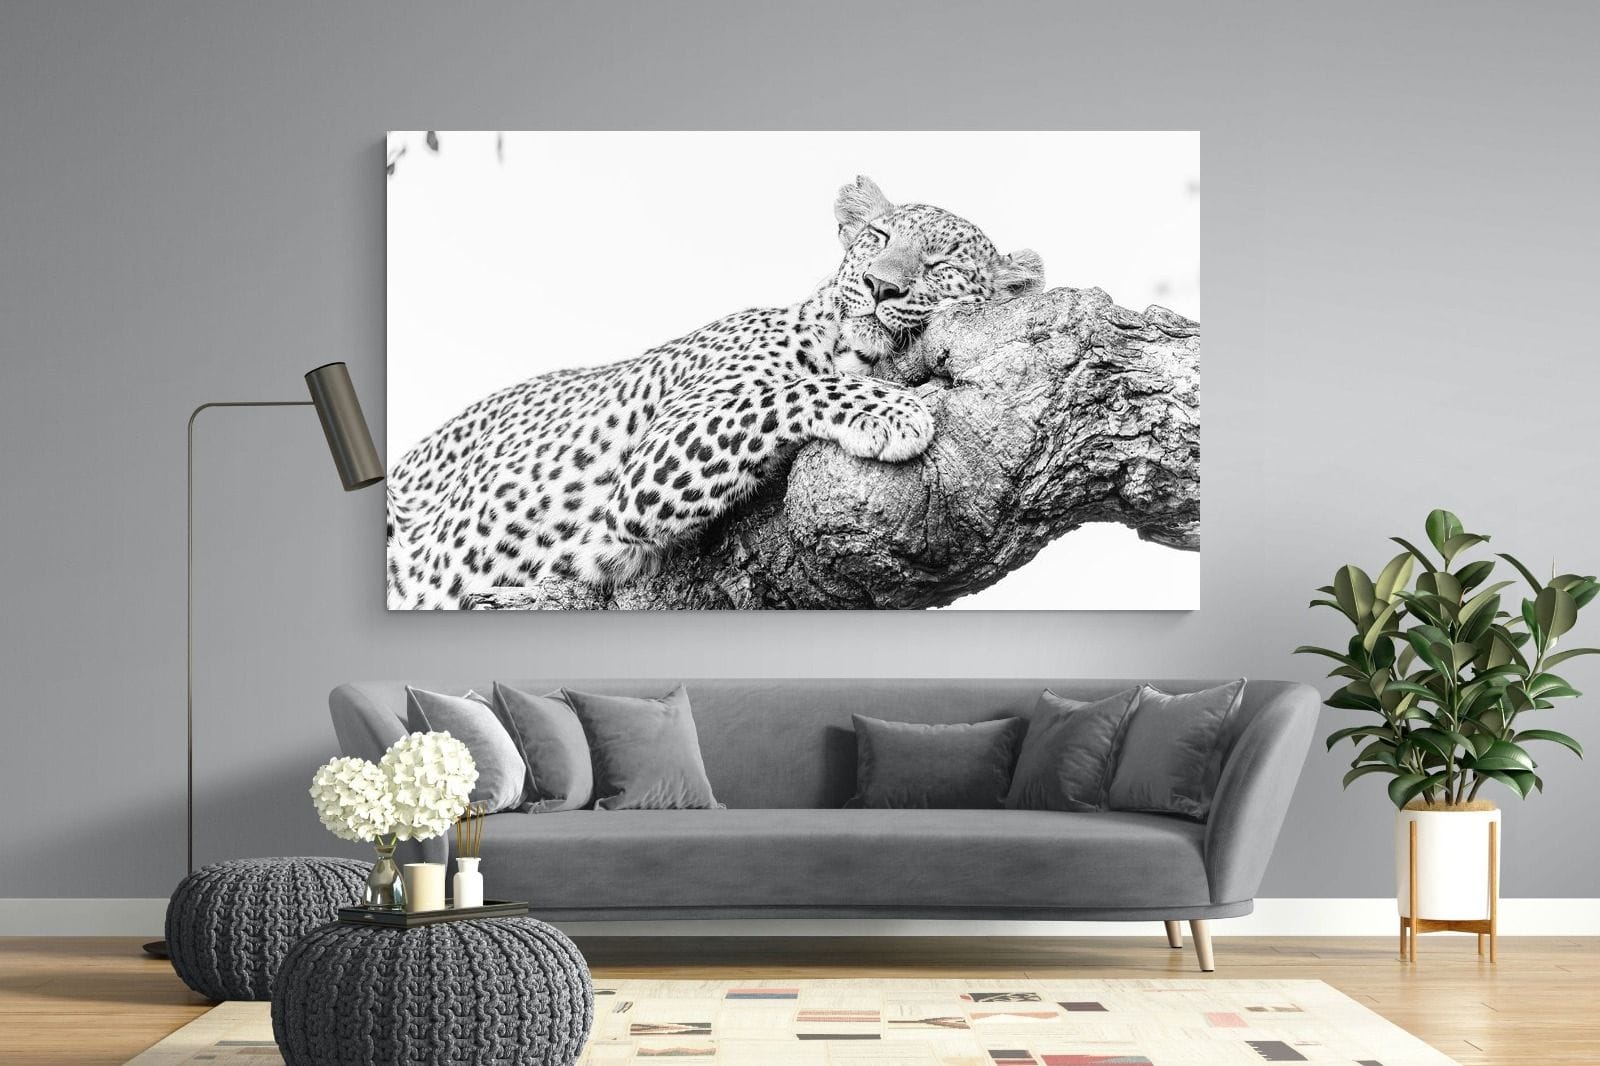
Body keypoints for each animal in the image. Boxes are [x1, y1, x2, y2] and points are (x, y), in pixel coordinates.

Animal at [386, 176, 1044, 609]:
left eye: (940, 265)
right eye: (878, 237)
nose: (879, 286)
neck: (845, 344)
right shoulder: (646, 471)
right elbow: (789, 391)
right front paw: (894, 409)